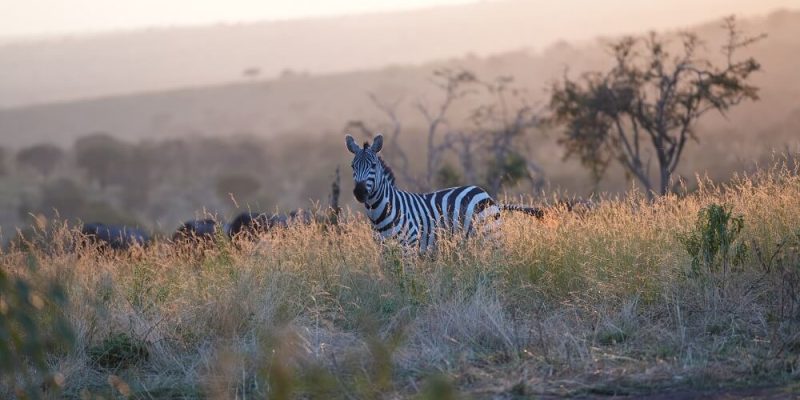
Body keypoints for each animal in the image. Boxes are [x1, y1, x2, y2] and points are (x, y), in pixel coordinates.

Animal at [346, 134, 543, 252]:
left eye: (373, 165)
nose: (359, 192)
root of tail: (486, 195)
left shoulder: (409, 246)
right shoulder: (385, 250)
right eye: (352, 166)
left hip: (491, 234)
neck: (380, 213)